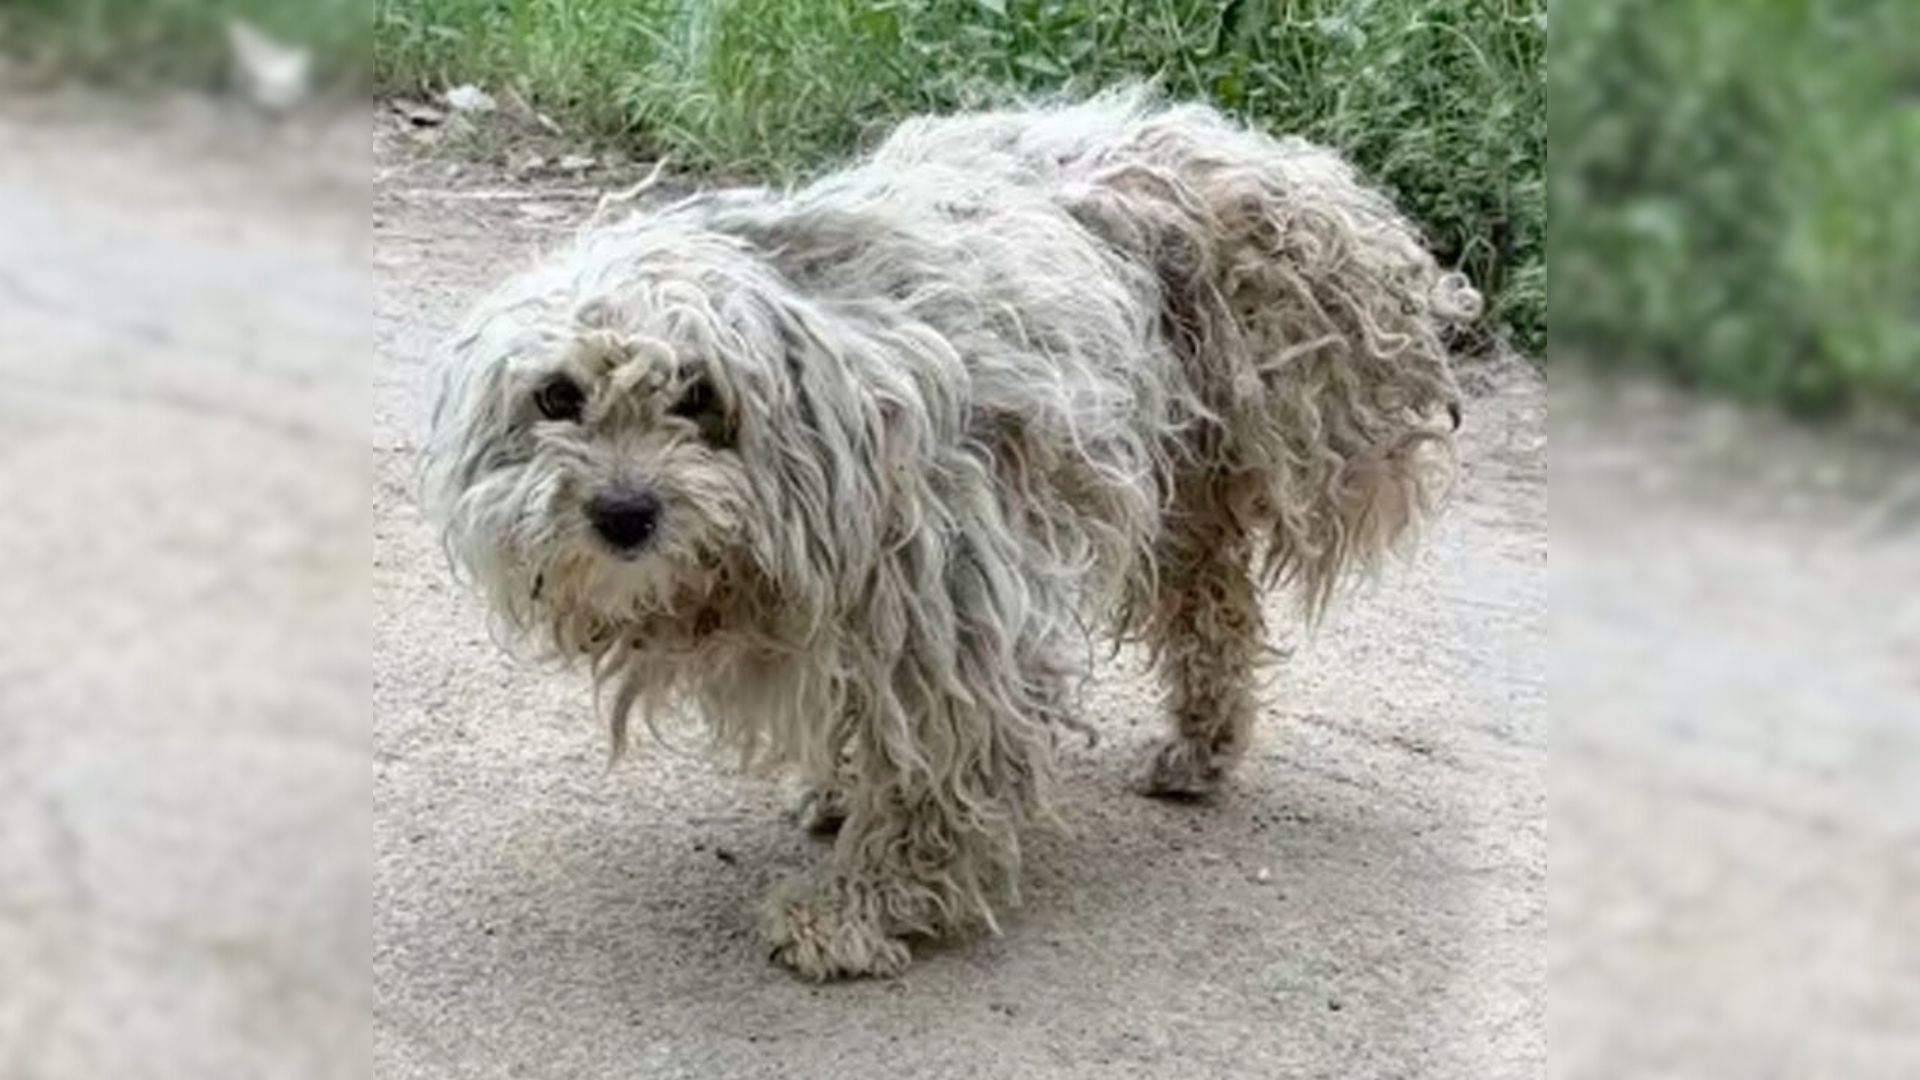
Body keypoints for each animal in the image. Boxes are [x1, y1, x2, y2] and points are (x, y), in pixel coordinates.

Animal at [424, 90, 1466, 976]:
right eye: (557, 396)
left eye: (698, 395)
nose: (624, 514)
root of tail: (1249, 150)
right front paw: (840, 792)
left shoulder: (947, 609)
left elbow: (935, 774)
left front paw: (862, 903)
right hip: (1174, 479)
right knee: (1216, 604)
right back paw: (1202, 743)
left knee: (1213, 611)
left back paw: (1200, 745)